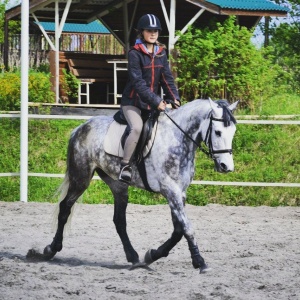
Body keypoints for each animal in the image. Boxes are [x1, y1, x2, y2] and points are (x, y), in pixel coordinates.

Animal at [41, 99, 237, 274]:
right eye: (218, 132)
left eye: (233, 132)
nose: (226, 167)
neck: (177, 139)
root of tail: (80, 128)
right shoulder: (170, 191)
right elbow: (187, 228)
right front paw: (200, 262)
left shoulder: (179, 193)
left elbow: (178, 230)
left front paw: (152, 255)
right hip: (81, 178)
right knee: (65, 207)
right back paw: (51, 249)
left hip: (117, 185)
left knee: (119, 220)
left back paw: (134, 258)